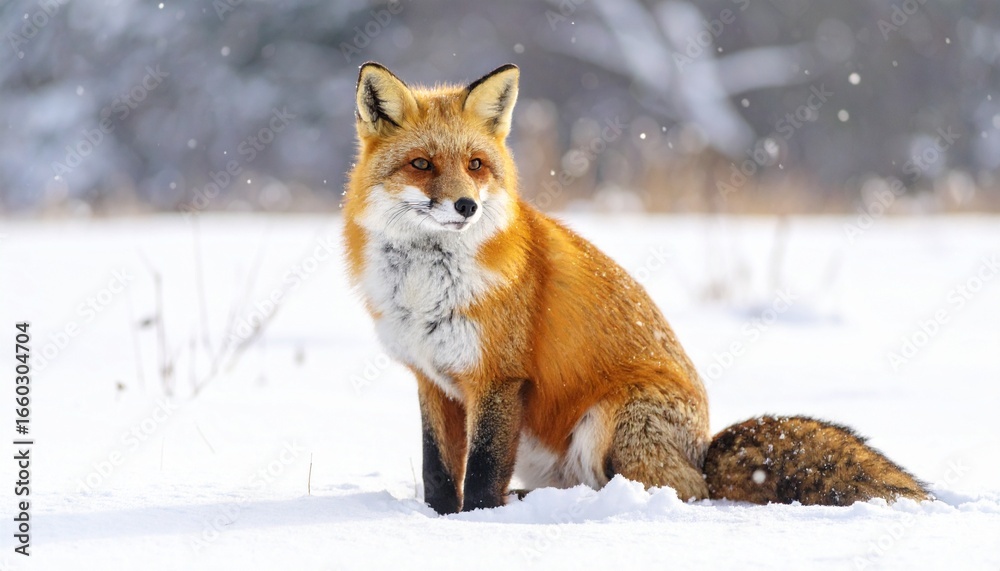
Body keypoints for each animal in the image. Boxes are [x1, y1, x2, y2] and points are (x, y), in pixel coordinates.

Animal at [342, 62, 928, 513]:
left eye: (476, 165)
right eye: (422, 164)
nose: (466, 206)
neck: (425, 289)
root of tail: (705, 450)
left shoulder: (499, 378)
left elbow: (484, 472)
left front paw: (477, 522)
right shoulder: (433, 380)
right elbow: (439, 470)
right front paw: (439, 519)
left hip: (608, 423)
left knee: (680, 491)